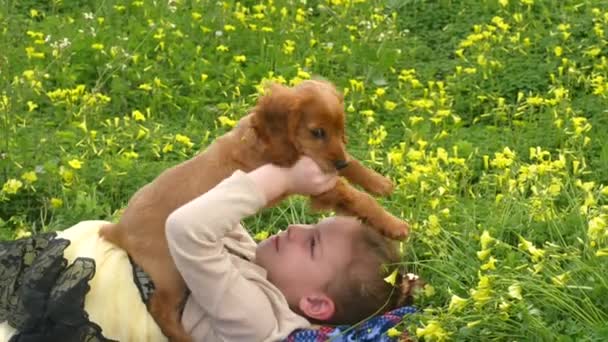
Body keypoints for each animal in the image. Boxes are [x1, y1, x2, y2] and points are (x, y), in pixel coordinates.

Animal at [100, 79, 408, 340]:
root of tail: (119, 230)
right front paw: (394, 224)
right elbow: (356, 197)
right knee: (160, 309)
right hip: (170, 270)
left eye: (339, 130)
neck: (265, 138)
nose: (339, 163)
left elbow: (352, 165)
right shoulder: (317, 180)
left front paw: (378, 182)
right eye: (317, 132)